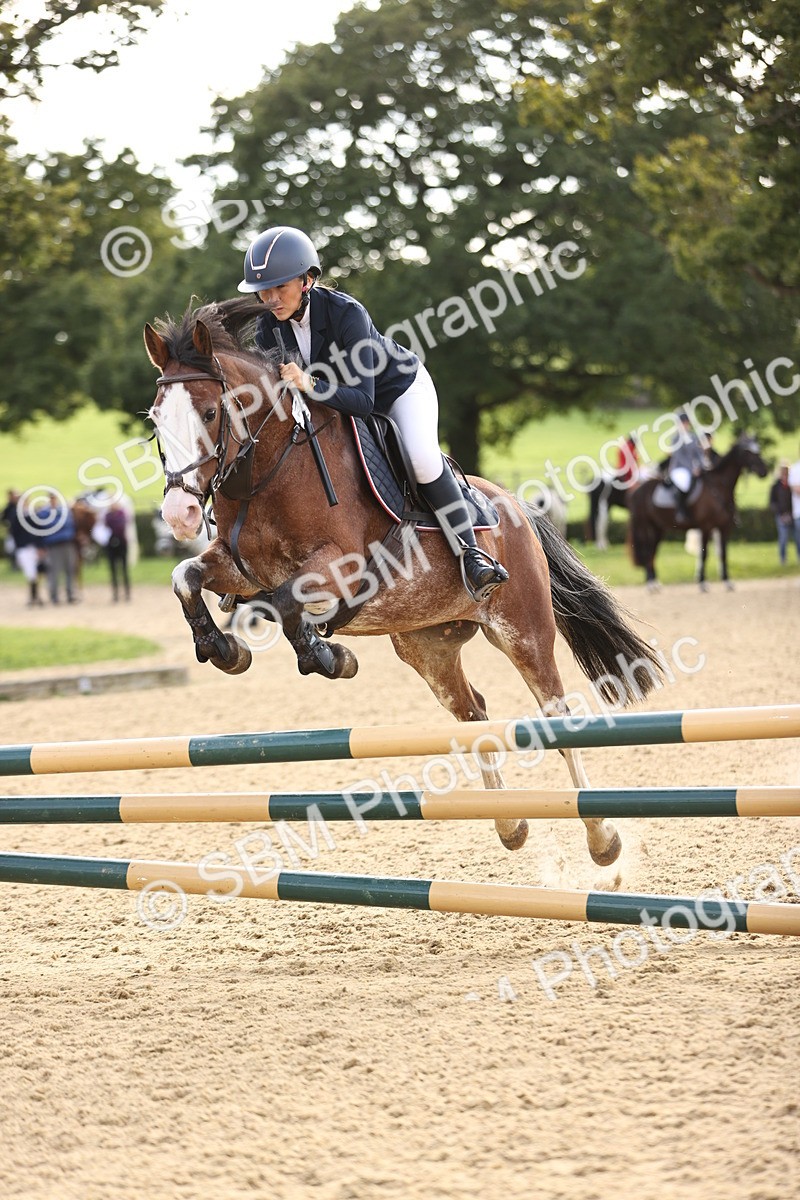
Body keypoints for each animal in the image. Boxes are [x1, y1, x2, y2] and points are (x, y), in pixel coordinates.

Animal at [143, 298, 664, 868]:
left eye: (210, 413)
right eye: (155, 420)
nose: (179, 514)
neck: (270, 470)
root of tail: (516, 506)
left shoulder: (340, 566)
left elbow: (285, 602)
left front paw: (328, 657)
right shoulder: (239, 568)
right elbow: (185, 577)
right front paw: (223, 648)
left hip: (522, 629)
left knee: (556, 715)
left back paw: (602, 841)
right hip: (427, 645)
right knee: (473, 712)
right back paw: (511, 826)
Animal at [627, 436, 769, 591]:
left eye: (758, 448)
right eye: (747, 451)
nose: (764, 471)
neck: (719, 487)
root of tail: (637, 491)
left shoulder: (724, 528)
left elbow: (723, 554)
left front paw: (727, 581)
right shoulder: (705, 527)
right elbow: (704, 554)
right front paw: (702, 582)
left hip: (658, 529)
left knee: (652, 553)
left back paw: (655, 583)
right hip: (644, 526)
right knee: (647, 552)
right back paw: (650, 585)